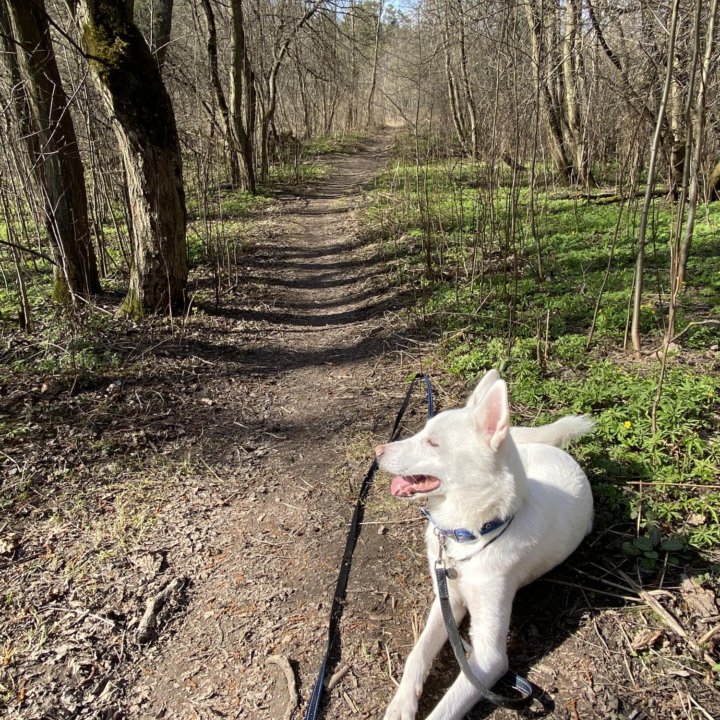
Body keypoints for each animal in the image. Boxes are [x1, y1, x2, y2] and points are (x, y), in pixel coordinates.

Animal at [374, 372, 592, 720]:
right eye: (422, 431)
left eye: (433, 442)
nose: (377, 450)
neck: (472, 537)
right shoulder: (447, 600)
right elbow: (417, 655)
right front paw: (400, 705)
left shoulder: (490, 658)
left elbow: (445, 710)